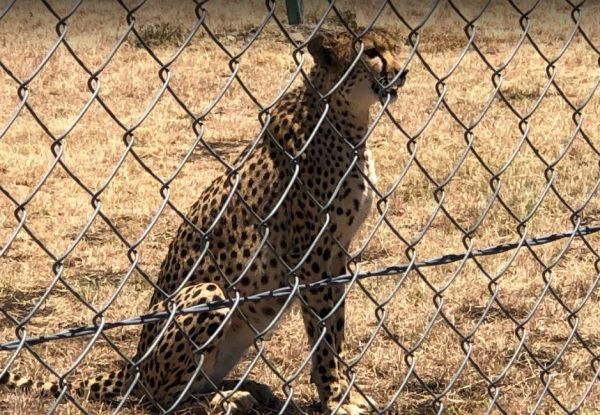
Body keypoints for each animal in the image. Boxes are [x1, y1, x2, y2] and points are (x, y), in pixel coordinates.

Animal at [0, 30, 408, 415]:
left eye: (399, 47)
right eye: (372, 53)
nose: (403, 71)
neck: (344, 118)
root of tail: (134, 365)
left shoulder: (337, 256)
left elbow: (335, 328)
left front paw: (342, 389)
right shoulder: (313, 258)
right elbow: (323, 336)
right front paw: (336, 397)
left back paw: (244, 388)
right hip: (208, 292)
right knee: (160, 398)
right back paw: (225, 399)